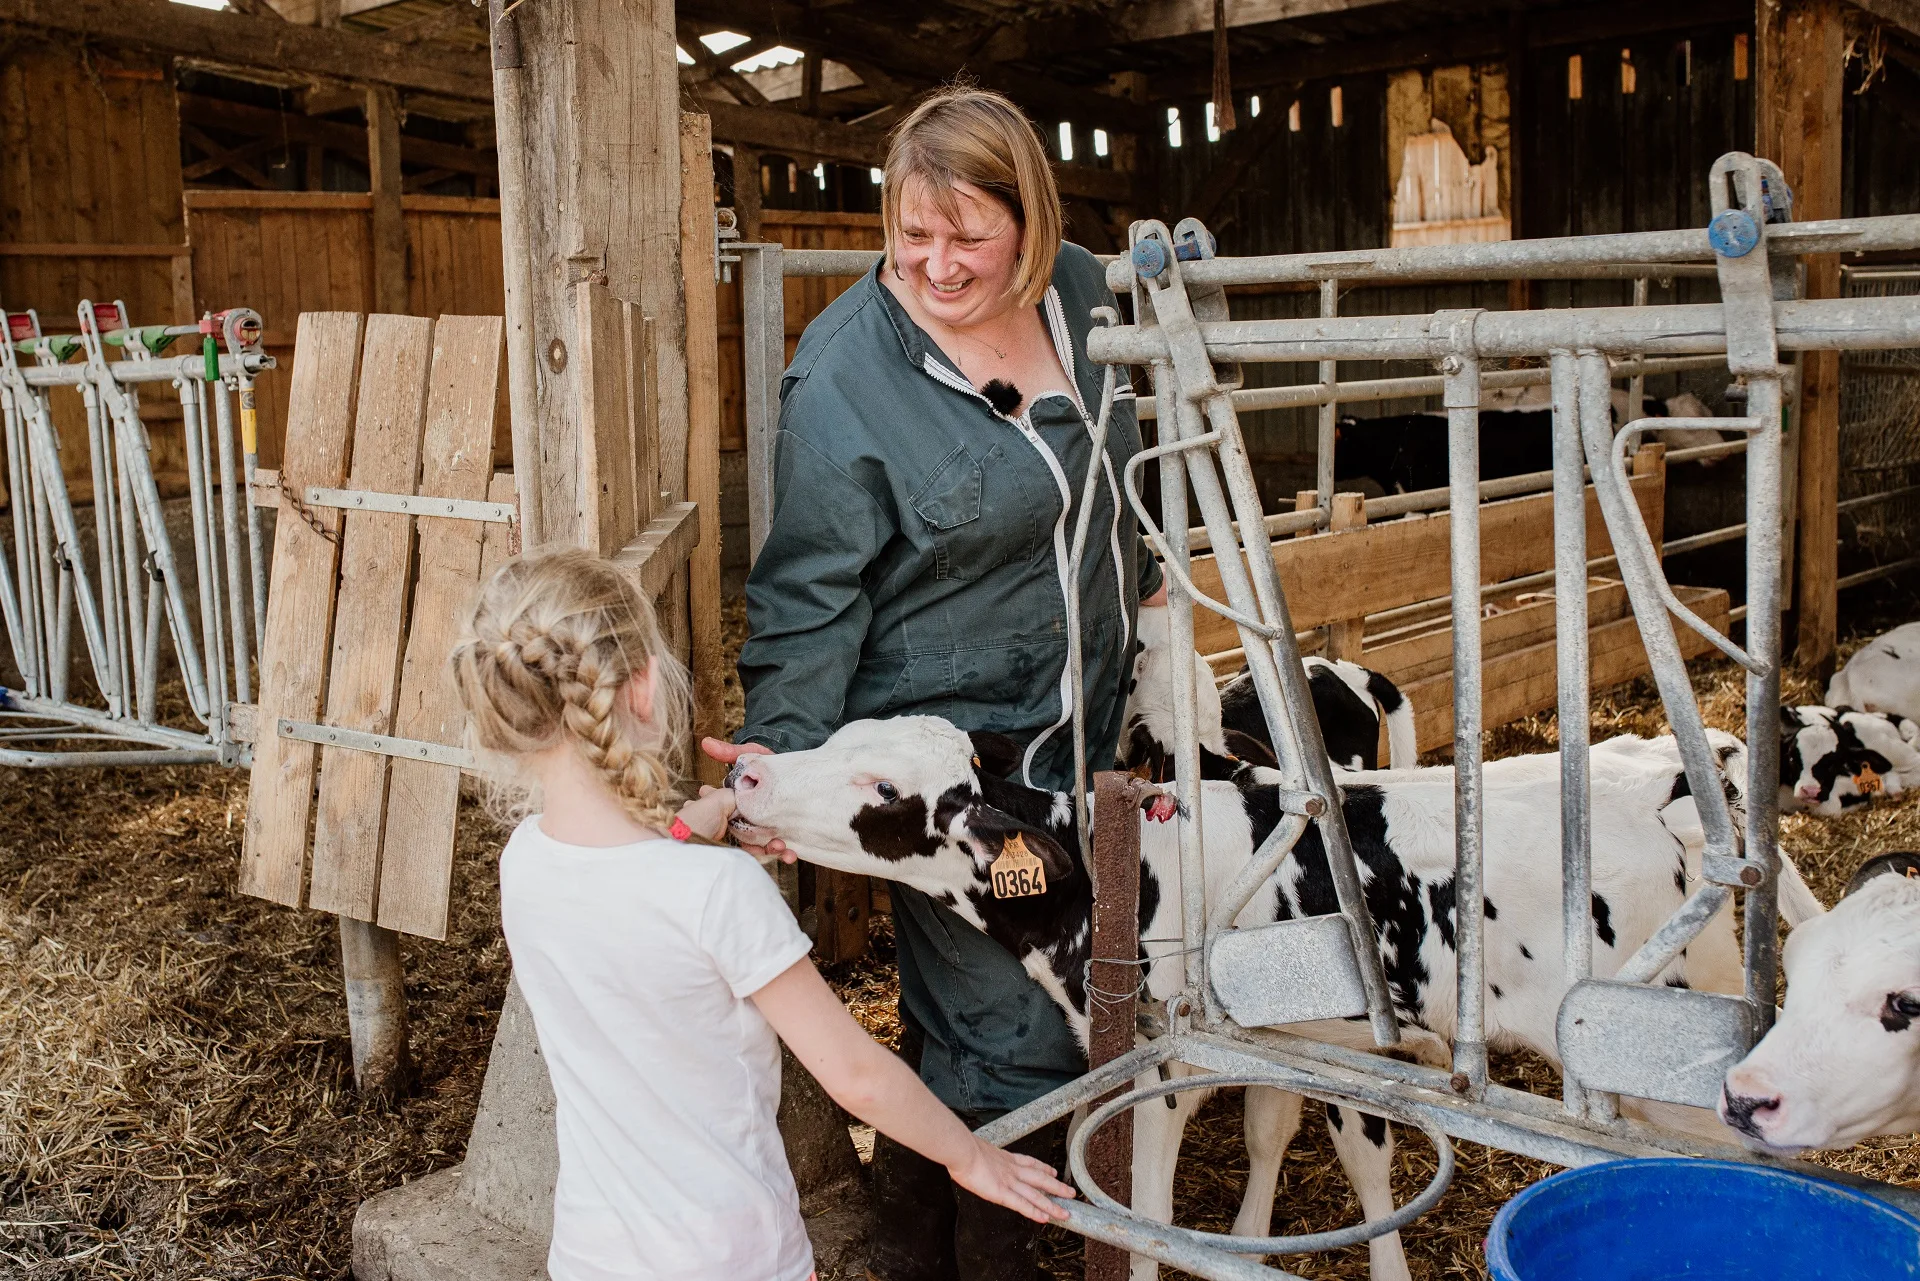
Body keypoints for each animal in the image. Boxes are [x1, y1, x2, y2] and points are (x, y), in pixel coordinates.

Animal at [721, 718, 1812, 1275]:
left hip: (1662, 1068)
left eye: (878, 785)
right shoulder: (1291, 1039)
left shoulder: (1160, 1066)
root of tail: (1656, 767)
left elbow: (1147, 1215)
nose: (748, 776)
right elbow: (1280, 1132)